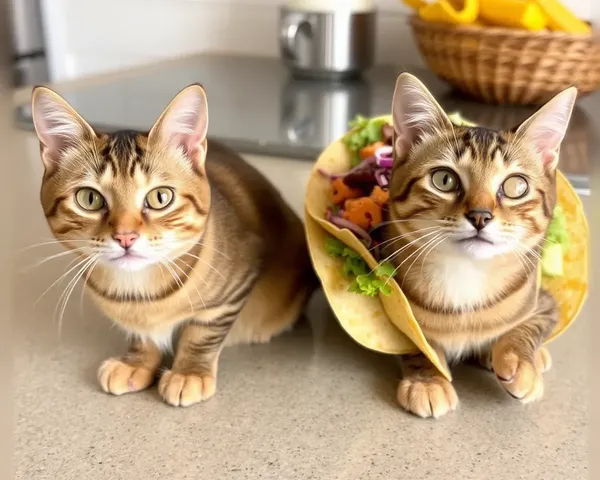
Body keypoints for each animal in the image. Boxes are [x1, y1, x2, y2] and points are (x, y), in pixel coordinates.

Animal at [32, 85, 314, 404]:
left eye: (160, 197)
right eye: (89, 199)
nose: (125, 236)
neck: (139, 291)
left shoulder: (238, 285)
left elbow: (201, 333)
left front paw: (189, 372)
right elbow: (140, 334)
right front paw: (137, 361)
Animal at [384, 73, 576, 418]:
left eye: (515, 186)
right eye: (443, 179)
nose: (480, 216)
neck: (466, 274)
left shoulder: (544, 301)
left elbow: (528, 327)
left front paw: (519, 359)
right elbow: (416, 341)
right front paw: (427, 380)